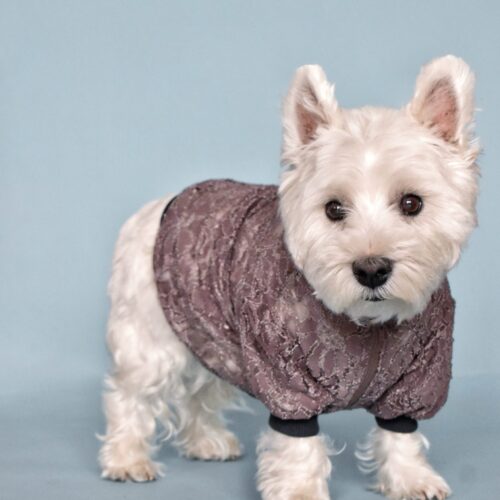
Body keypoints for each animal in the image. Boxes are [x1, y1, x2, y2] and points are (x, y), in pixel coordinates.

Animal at [98, 55, 480, 500]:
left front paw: (411, 479)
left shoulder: (416, 382)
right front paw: (300, 490)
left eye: (412, 203)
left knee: (201, 387)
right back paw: (126, 459)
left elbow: (401, 435)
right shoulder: (288, 381)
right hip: (152, 338)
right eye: (333, 208)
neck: (368, 323)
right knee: (128, 395)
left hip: (214, 335)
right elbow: (299, 445)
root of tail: (156, 208)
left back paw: (206, 441)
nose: (371, 269)